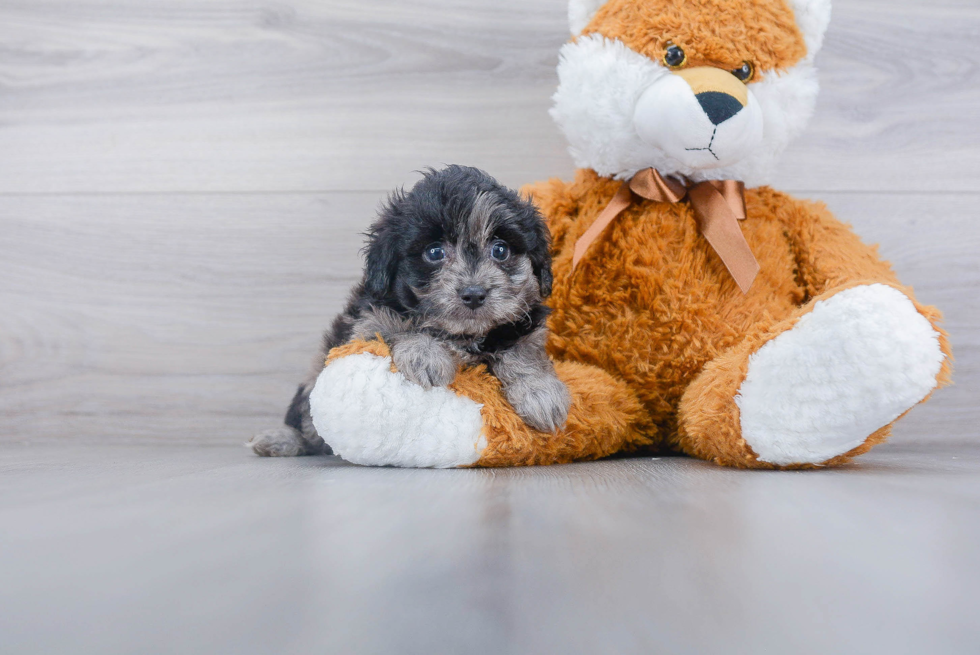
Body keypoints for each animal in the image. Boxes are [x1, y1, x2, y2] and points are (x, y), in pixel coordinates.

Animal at [251, 167, 576, 458]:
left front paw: (541, 394)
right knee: (307, 423)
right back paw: (280, 440)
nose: (473, 294)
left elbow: (523, 351)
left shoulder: (524, 324)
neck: (461, 335)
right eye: (434, 252)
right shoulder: (368, 319)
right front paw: (426, 354)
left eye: (500, 250)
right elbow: (397, 326)